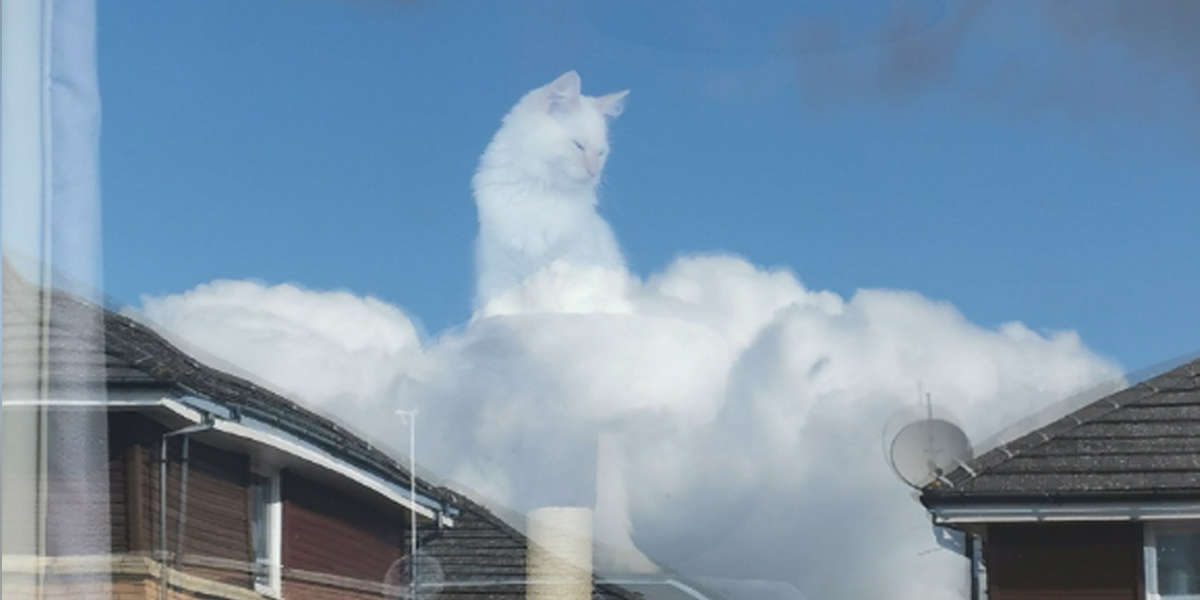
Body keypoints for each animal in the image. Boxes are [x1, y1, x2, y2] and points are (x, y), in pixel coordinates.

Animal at [472, 70, 633, 309]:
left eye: (601, 153)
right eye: (578, 145)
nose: (594, 172)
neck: (541, 193)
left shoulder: (572, 264)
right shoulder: (499, 272)